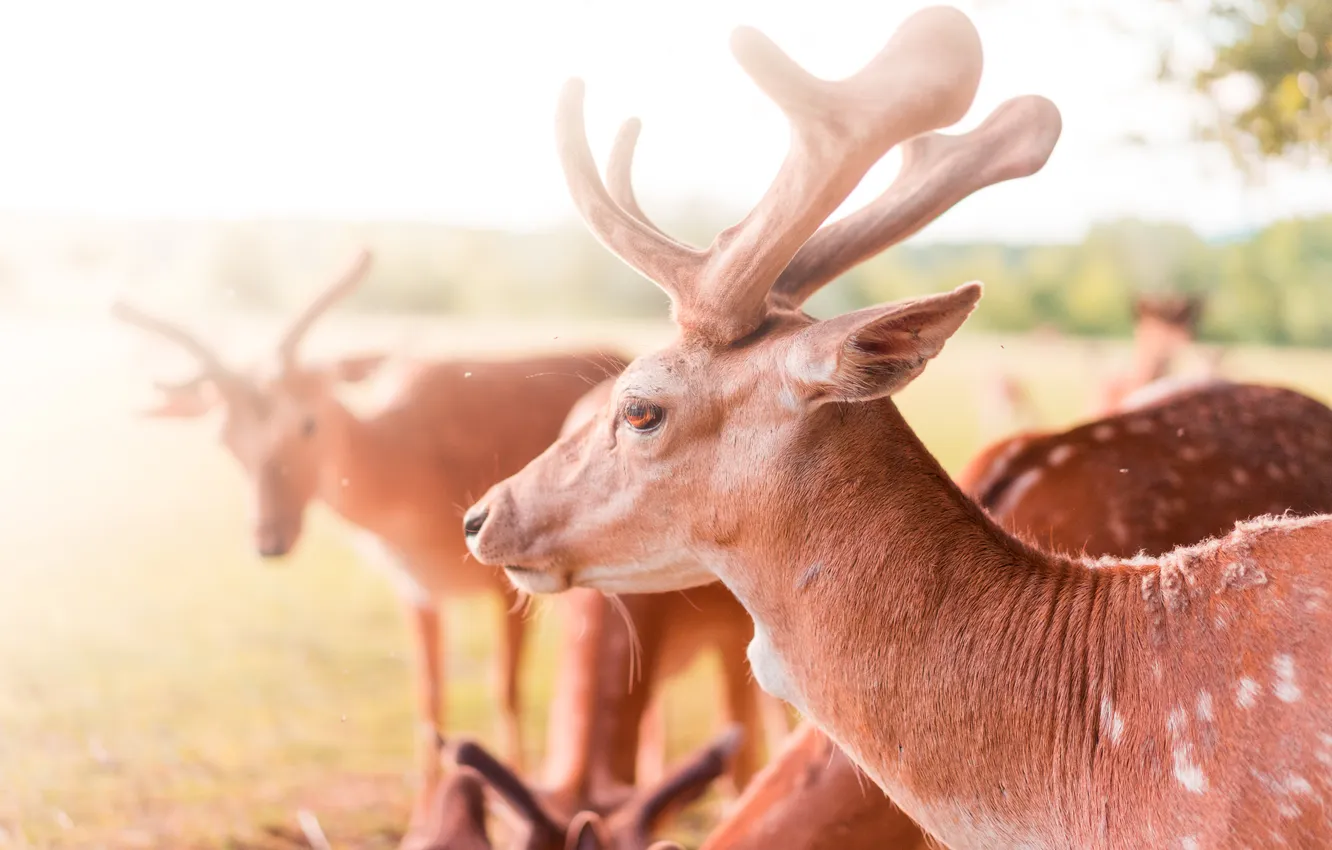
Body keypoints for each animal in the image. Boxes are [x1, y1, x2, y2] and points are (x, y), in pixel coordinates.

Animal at [110, 249, 630, 846]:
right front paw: (421, 823)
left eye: (308, 422)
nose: (269, 539)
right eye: (226, 439)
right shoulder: (415, 588)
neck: (417, 478)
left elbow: (506, 690)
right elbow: (429, 701)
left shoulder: (508, 582)